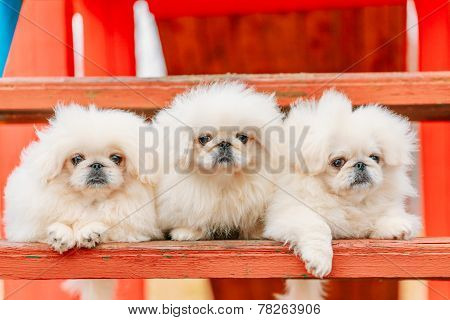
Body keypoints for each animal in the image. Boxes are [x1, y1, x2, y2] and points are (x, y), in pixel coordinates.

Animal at [3, 106, 163, 298]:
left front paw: (90, 231)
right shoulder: (27, 229)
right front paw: (61, 234)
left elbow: (107, 224)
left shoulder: (133, 228)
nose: (96, 164)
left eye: (116, 158)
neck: (91, 199)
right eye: (77, 159)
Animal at [149, 82, 284, 240]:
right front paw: (186, 232)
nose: (224, 143)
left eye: (243, 137)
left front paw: (257, 232)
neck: (223, 180)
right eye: (204, 139)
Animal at [264, 90, 422, 300]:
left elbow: (382, 217)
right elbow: (318, 227)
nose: (360, 164)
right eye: (338, 162)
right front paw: (319, 259)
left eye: (374, 158)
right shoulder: (290, 215)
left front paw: (396, 227)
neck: (348, 201)